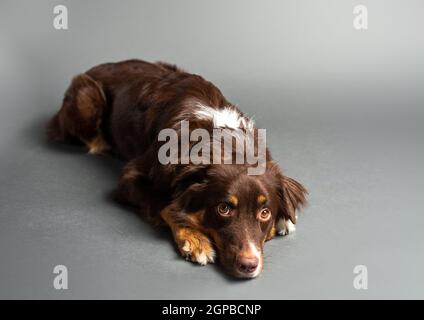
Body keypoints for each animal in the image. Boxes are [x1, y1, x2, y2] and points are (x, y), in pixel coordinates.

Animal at [47, 59, 308, 278]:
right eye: (223, 209)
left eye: (265, 213)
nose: (249, 266)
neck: (224, 143)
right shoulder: (132, 177)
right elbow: (166, 204)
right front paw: (194, 239)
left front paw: (285, 219)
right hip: (87, 96)